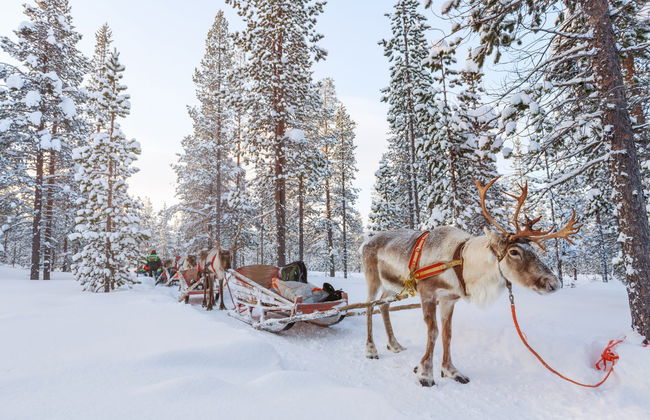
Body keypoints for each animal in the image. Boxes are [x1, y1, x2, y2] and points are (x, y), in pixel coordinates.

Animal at [359, 177, 580, 387]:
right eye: (514, 252)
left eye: (533, 250)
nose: (553, 283)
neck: (461, 262)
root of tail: (365, 243)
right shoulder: (428, 293)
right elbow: (433, 332)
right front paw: (425, 374)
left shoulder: (449, 299)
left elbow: (447, 334)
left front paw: (451, 371)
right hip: (372, 278)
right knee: (369, 306)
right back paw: (371, 349)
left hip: (391, 285)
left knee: (383, 305)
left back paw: (394, 344)